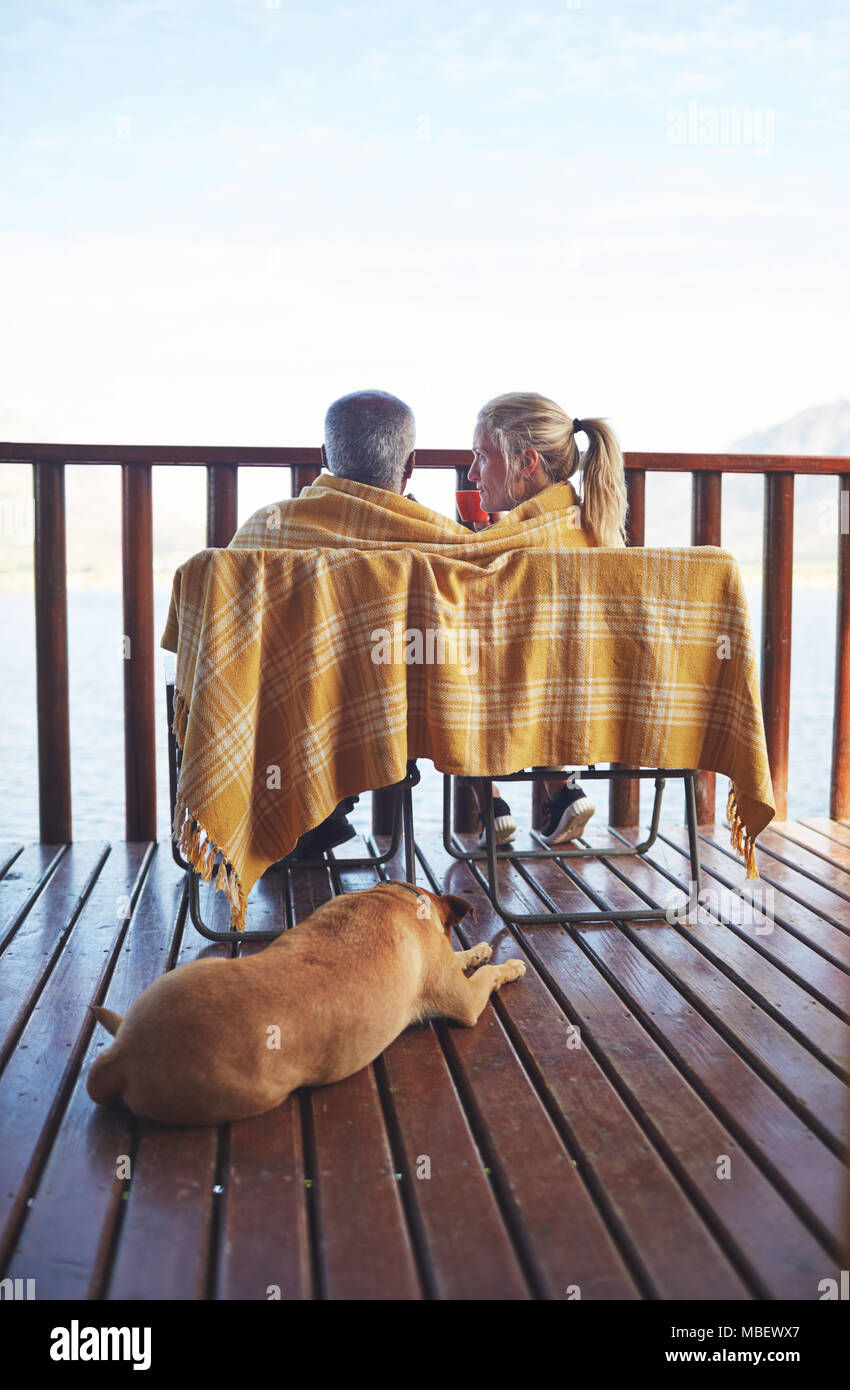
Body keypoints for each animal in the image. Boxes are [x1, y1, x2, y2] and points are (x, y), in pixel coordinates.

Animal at [86, 878, 525, 1128]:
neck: (395, 895)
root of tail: (123, 1054)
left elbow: (463, 957)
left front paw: (478, 949)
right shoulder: (464, 998)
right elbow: (486, 974)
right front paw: (509, 964)